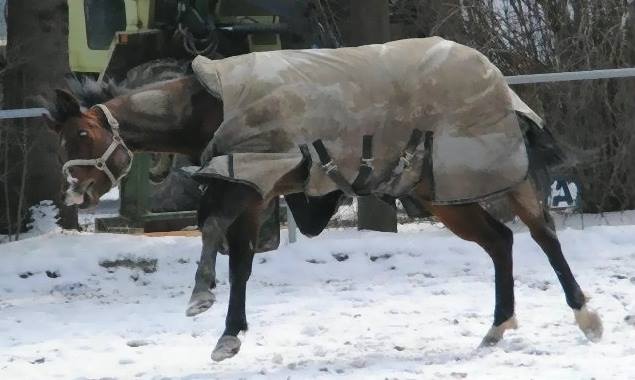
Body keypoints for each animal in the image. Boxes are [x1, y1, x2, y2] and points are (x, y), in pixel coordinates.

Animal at [47, 54, 604, 362]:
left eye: (82, 135)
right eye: (63, 139)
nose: (73, 193)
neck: (211, 103)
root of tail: (497, 81)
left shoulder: (246, 184)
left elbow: (210, 229)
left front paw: (201, 298)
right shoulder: (255, 190)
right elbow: (241, 261)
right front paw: (230, 335)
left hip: (498, 175)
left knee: (543, 235)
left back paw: (586, 317)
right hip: (444, 195)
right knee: (500, 241)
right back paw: (497, 327)